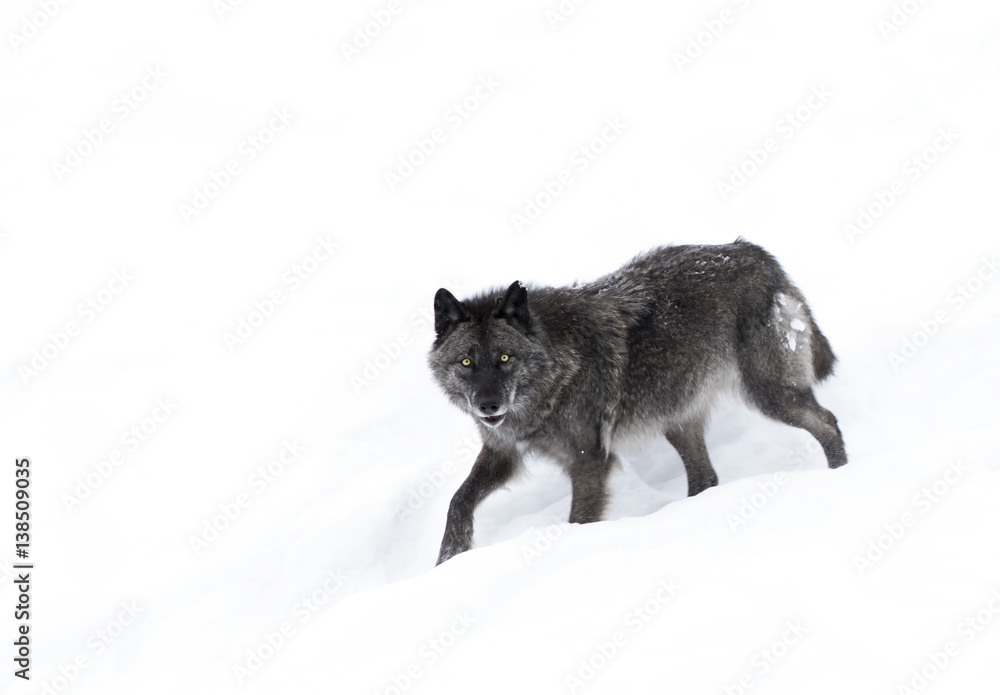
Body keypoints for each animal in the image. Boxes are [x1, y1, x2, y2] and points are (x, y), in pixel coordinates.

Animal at [428, 240, 846, 565]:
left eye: (504, 358)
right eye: (466, 362)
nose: (488, 406)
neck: (555, 373)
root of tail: (752, 252)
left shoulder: (590, 462)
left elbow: (579, 520)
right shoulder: (502, 452)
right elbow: (457, 501)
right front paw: (448, 561)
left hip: (769, 395)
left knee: (826, 421)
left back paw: (841, 476)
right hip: (676, 419)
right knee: (706, 477)